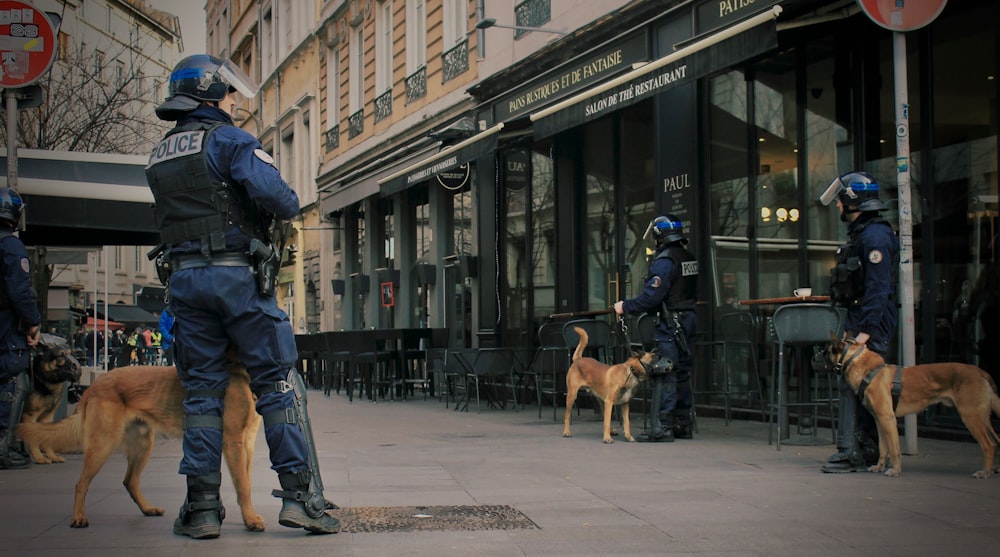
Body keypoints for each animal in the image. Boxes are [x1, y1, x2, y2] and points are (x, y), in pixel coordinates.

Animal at [824, 334, 1000, 478]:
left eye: (826, 351)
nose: (817, 357)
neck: (869, 371)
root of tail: (981, 372)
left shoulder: (888, 419)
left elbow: (894, 448)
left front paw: (895, 470)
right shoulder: (879, 420)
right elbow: (883, 448)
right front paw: (879, 467)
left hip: (971, 417)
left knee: (989, 445)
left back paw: (984, 472)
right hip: (983, 418)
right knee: (996, 441)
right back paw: (993, 469)